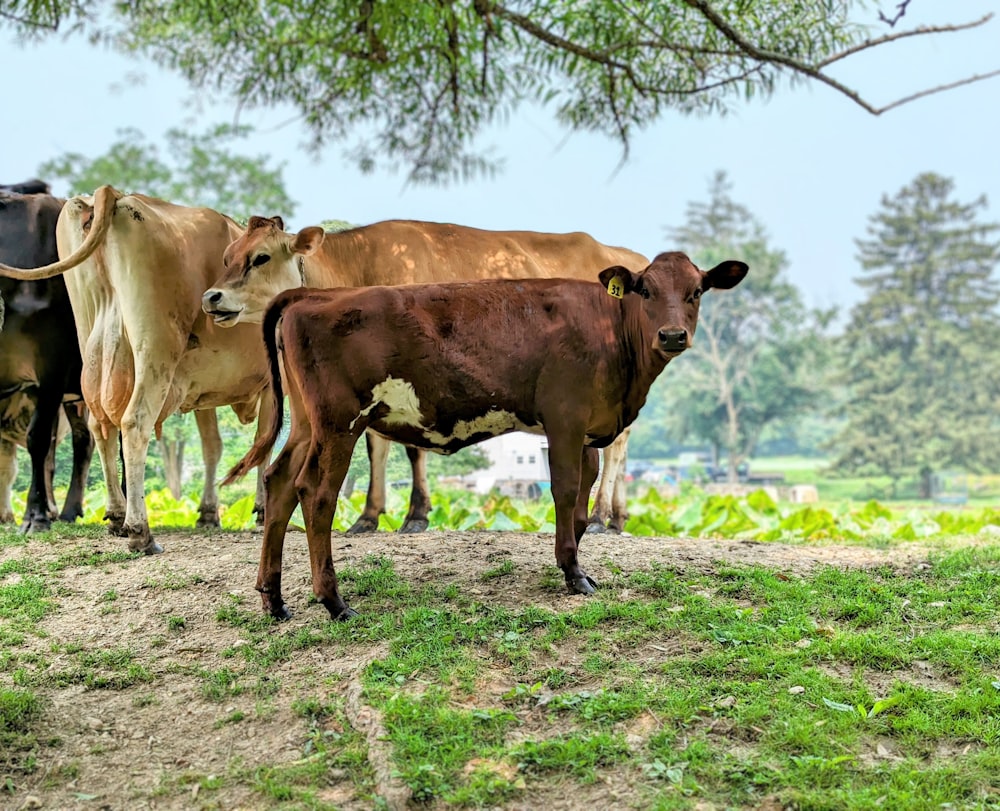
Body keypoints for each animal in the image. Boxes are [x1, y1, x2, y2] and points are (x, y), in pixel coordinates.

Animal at [225, 254, 744, 620]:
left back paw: (273, 598)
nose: (672, 335)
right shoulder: (565, 419)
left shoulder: (589, 431)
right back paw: (333, 602)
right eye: (645, 290)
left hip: (307, 424)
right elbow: (565, 491)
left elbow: (581, 503)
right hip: (339, 422)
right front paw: (573, 573)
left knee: (279, 482)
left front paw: (573, 562)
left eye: (697, 291)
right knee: (316, 495)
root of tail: (310, 296)